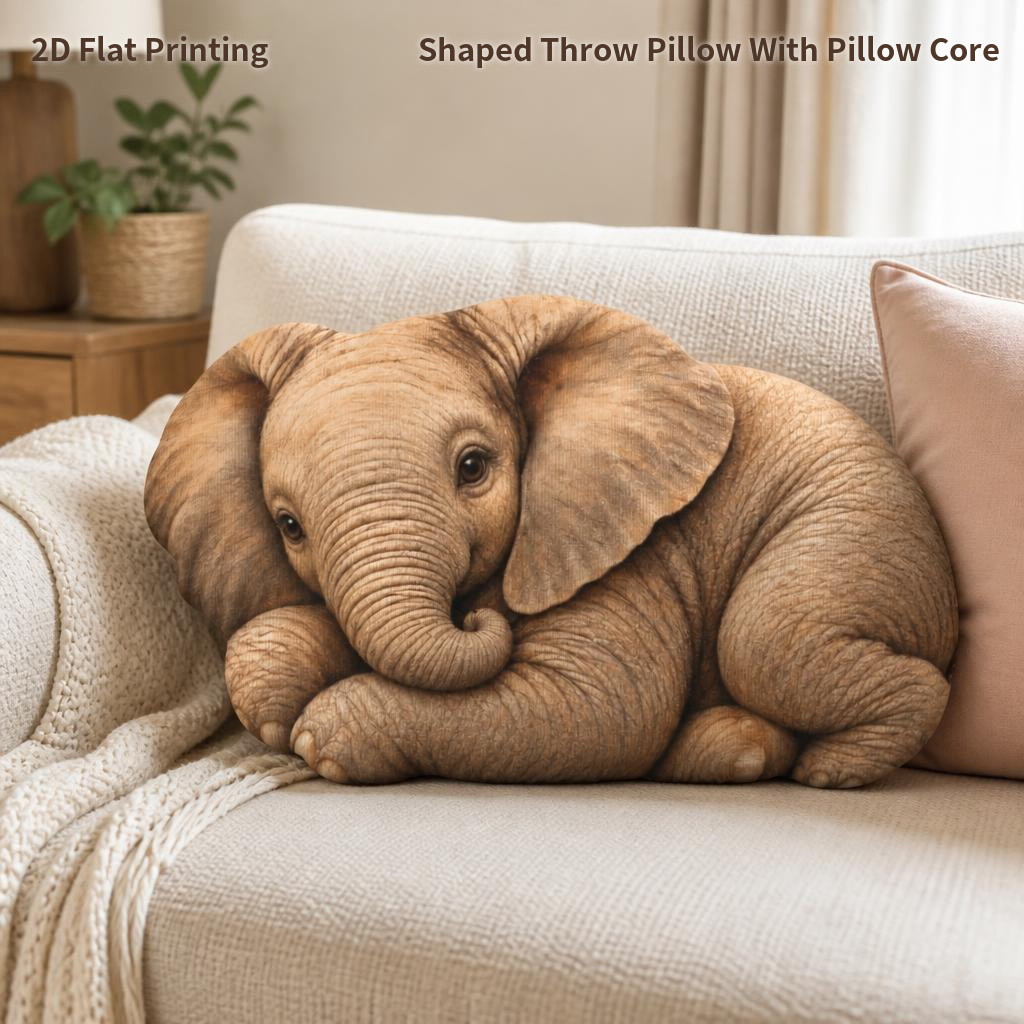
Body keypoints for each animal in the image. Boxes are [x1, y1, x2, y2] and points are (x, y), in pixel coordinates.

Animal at [144, 296, 958, 789]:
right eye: (289, 526)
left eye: (475, 468)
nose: (478, 611)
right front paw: (278, 708)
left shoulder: (626, 548)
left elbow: (597, 710)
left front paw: (319, 739)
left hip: (854, 540)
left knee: (763, 641)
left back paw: (831, 771)